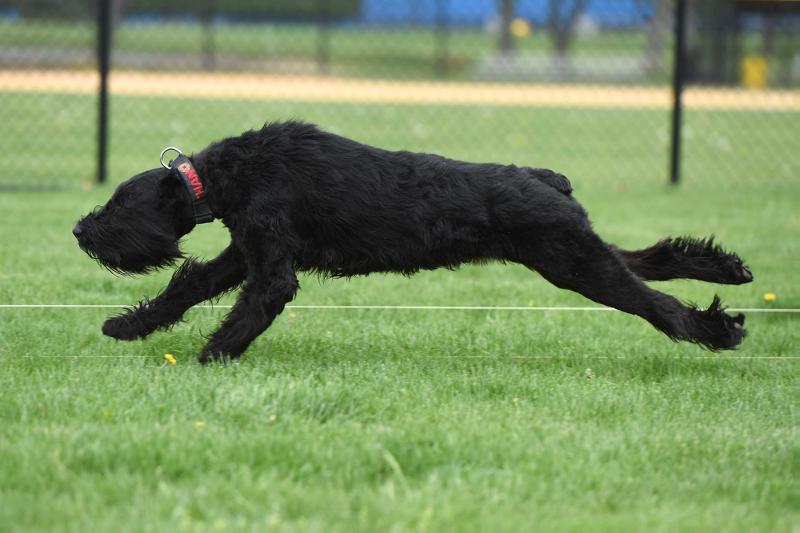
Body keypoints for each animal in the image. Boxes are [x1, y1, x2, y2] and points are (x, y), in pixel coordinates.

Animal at [72, 120, 752, 362]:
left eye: (117, 204)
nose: (80, 229)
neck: (227, 175)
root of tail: (543, 178)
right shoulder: (244, 252)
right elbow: (187, 287)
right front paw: (128, 326)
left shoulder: (269, 265)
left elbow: (250, 308)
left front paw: (212, 356)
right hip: (577, 251)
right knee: (650, 262)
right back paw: (726, 267)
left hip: (573, 261)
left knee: (656, 304)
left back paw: (718, 331)